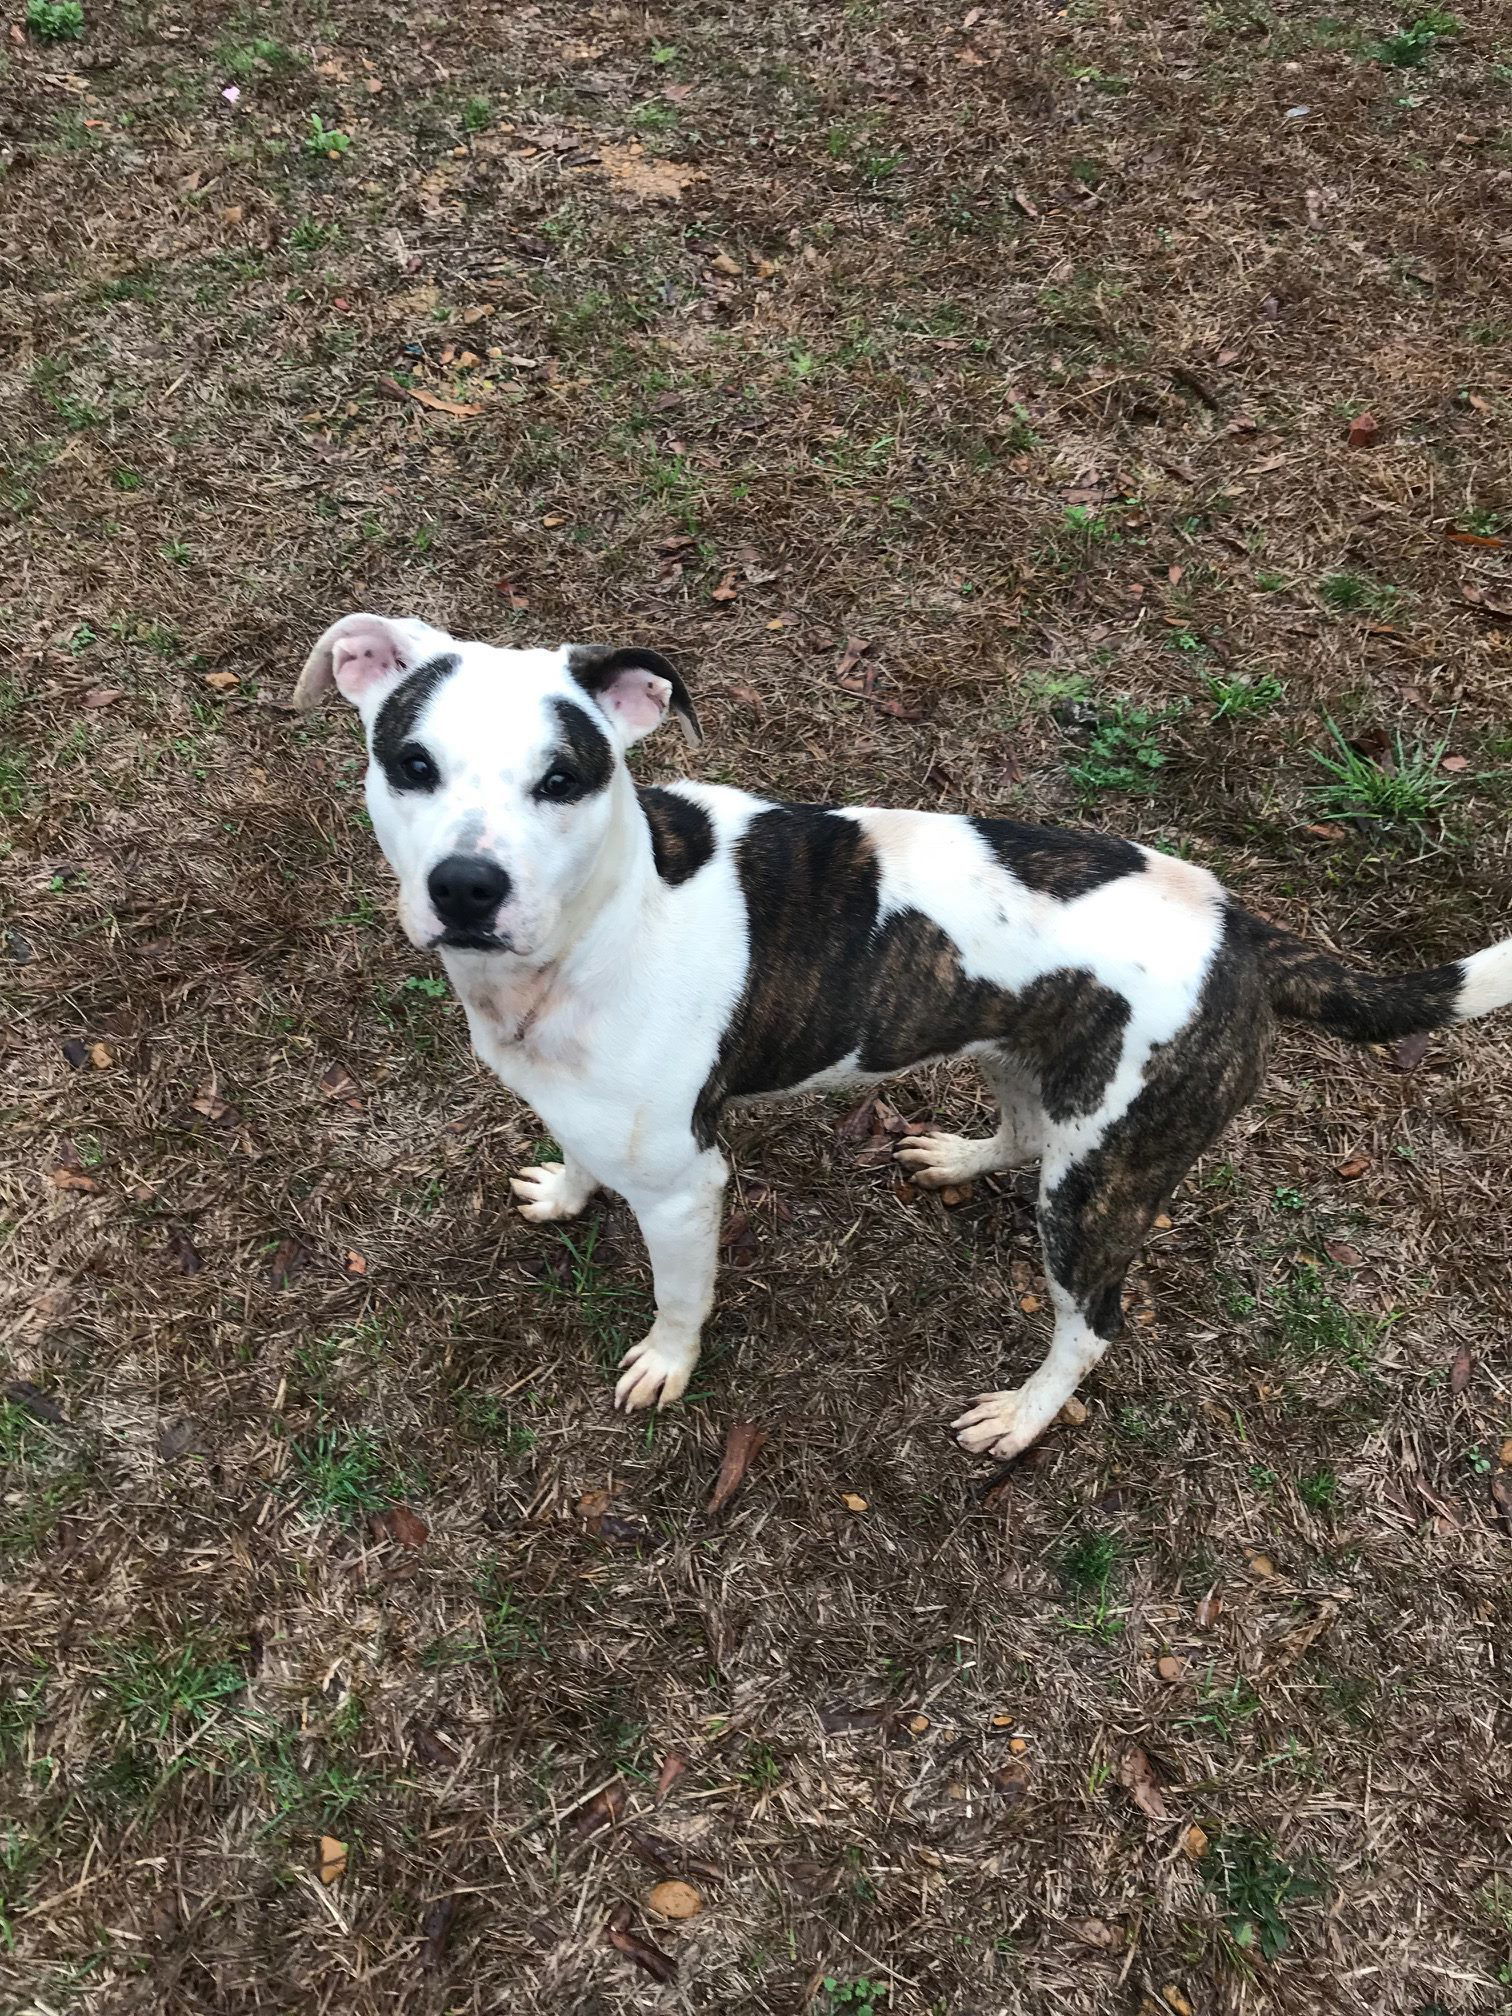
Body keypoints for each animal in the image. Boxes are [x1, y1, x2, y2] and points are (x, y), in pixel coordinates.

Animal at [296, 612, 1512, 1467]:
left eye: (562, 777)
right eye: (411, 763)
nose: (466, 886)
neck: (604, 918)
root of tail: (1243, 926)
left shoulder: (688, 1186)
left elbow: (682, 1297)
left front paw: (665, 1366)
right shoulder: (589, 1107)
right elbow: (579, 1157)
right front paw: (562, 1191)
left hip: (1101, 1184)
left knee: (1093, 1322)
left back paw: (1023, 1416)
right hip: (1035, 1064)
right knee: (1022, 1133)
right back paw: (959, 1158)